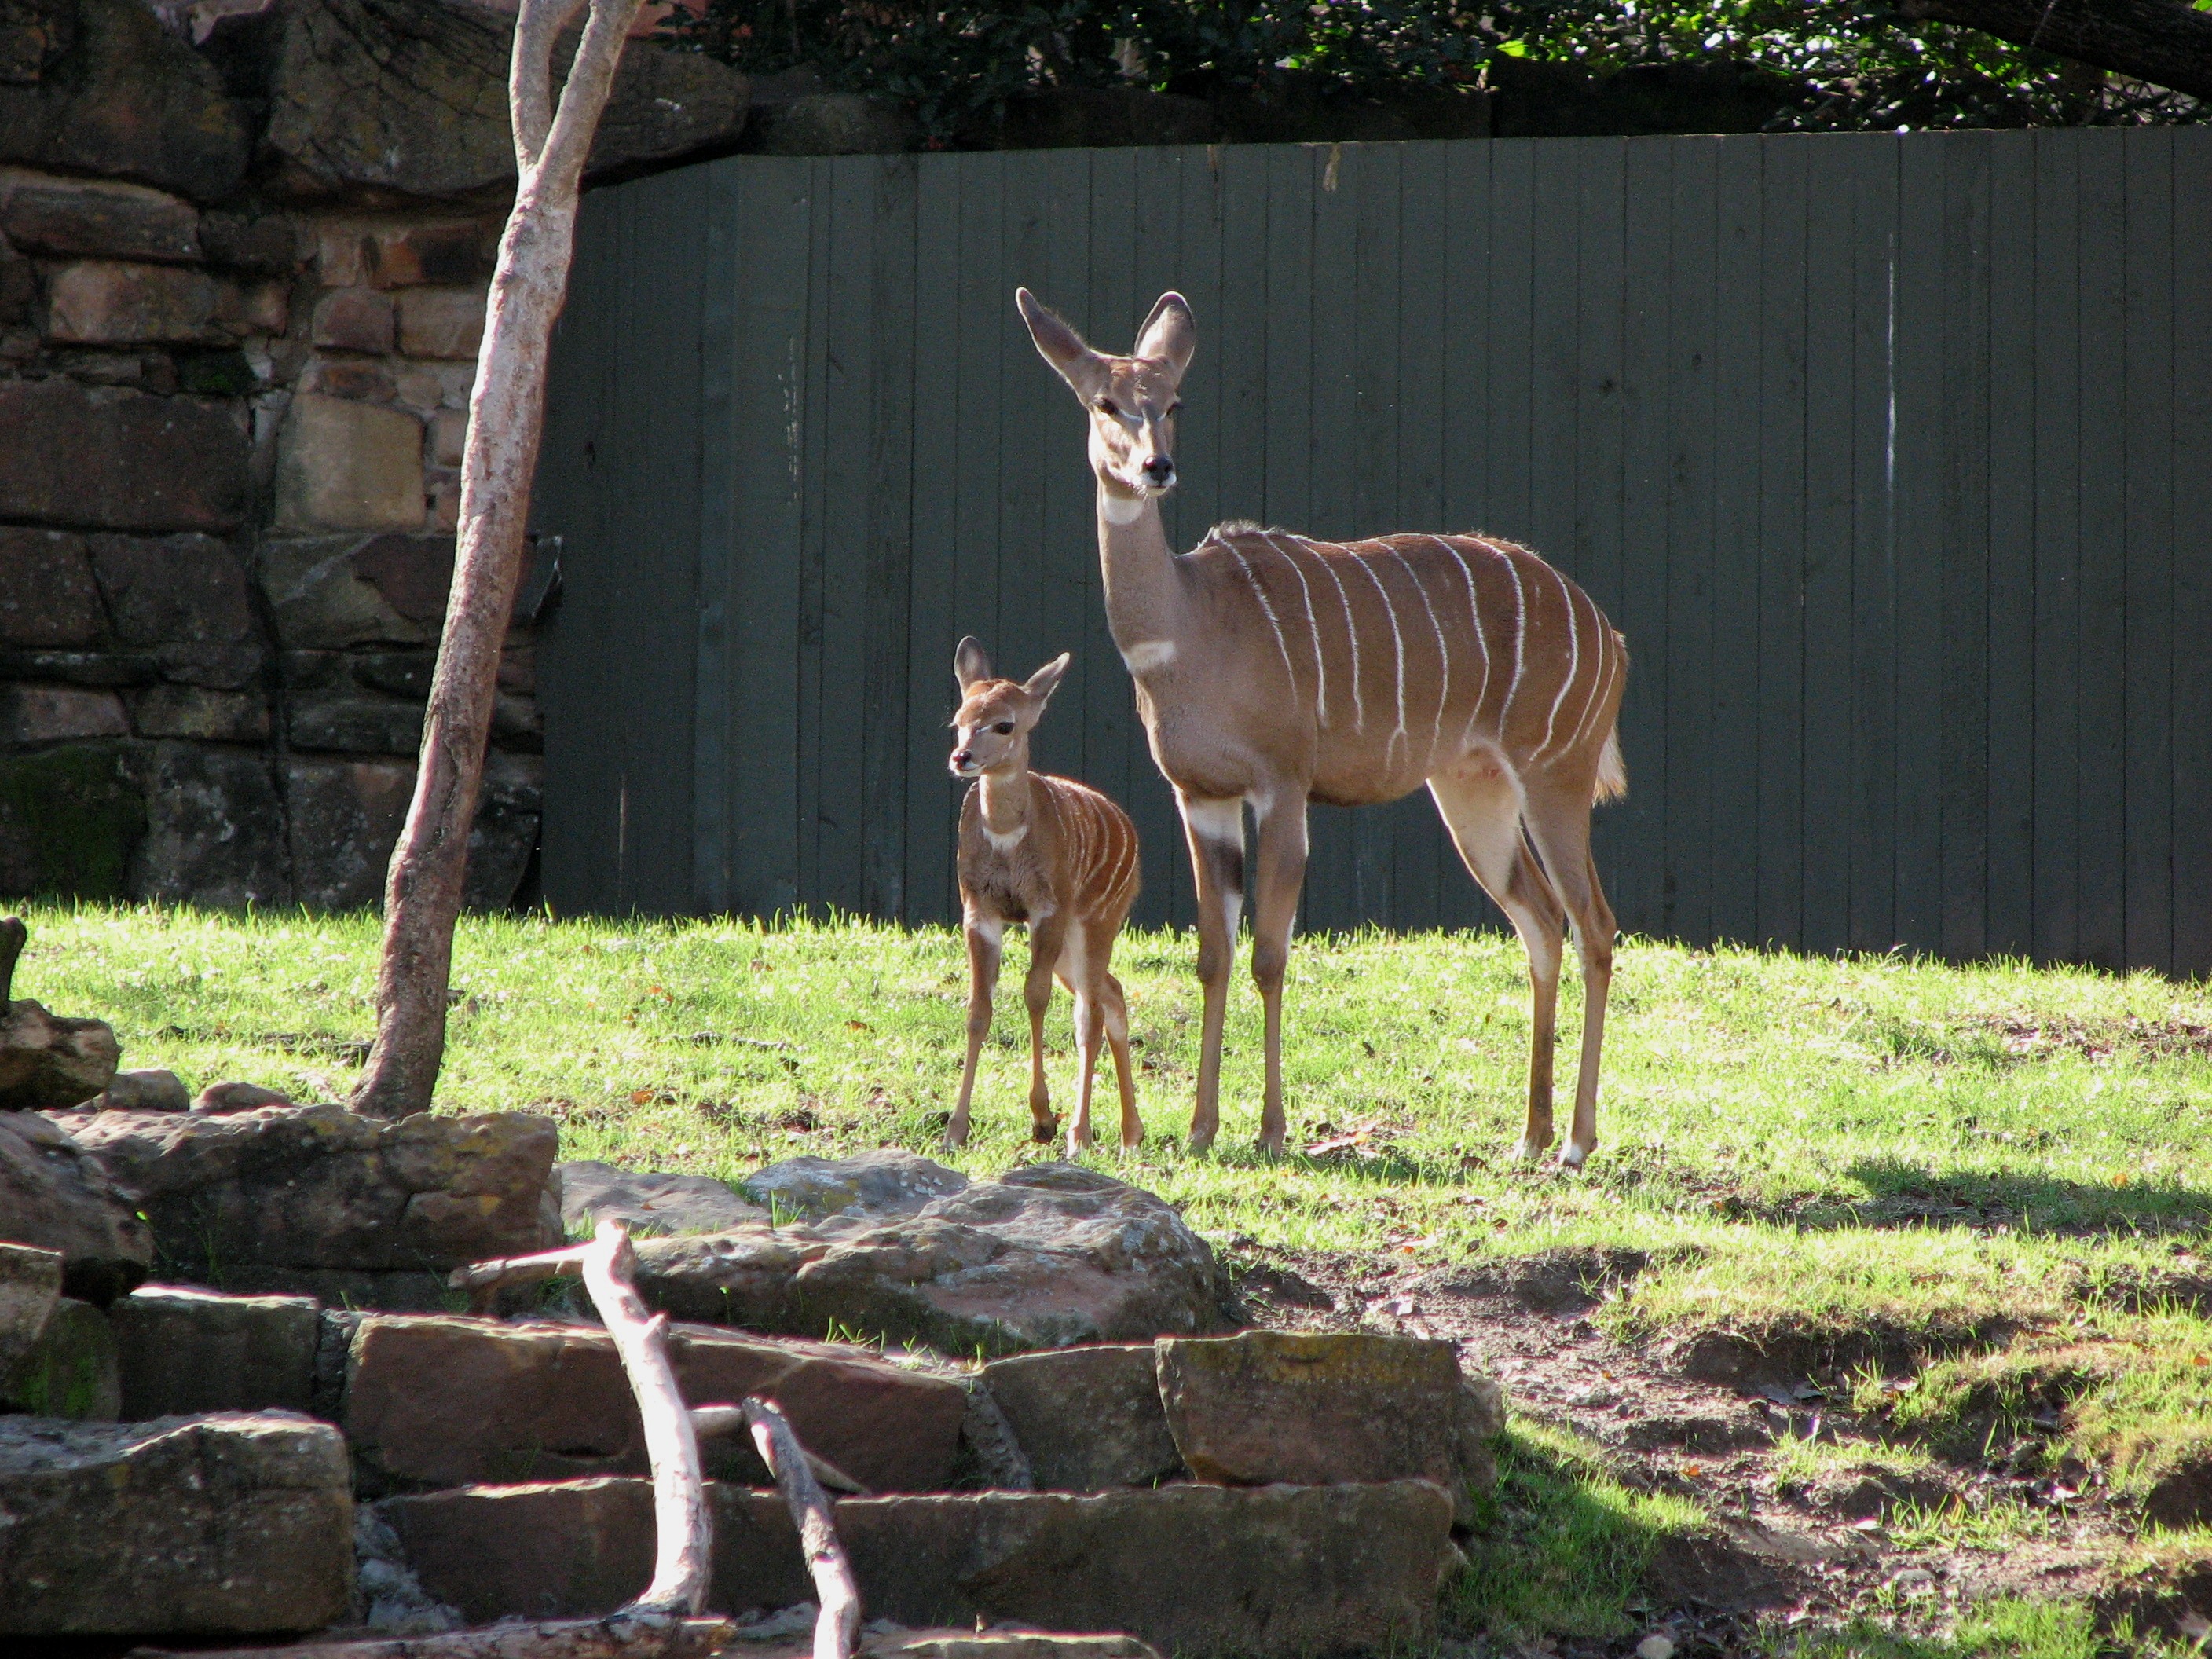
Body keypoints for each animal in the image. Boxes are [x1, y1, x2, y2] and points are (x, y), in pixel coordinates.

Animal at [947, 637, 1141, 1159]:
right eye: (958, 719)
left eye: (1004, 724)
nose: (962, 757)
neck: (1006, 835)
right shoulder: (979, 910)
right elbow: (978, 1009)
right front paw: (955, 1130)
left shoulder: (1047, 909)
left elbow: (1034, 996)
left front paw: (1041, 1118)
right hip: (1073, 948)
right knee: (1112, 995)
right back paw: (1131, 1134)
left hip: (1097, 921)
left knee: (1090, 1013)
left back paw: (1080, 1134)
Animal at [1017, 285, 1628, 1167]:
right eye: (1105, 402)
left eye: (1173, 403)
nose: (1155, 467)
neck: (1188, 629)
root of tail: (1607, 634)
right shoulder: (1199, 795)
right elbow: (1213, 953)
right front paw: (1200, 1129)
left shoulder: (1284, 782)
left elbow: (1271, 953)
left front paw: (1271, 1130)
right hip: (1472, 792)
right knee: (1542, 927)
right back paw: (1528, 1135)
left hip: (1557, 775)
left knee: (1594, 926)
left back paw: (1576, 1143)